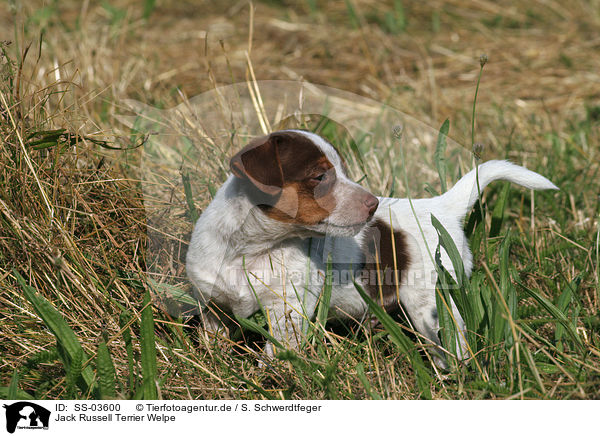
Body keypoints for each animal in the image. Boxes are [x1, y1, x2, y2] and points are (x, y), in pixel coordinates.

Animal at [186, 129, 556, 364]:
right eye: (319, 176)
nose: (373, 203)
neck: (252, 249)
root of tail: (442, 206)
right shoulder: (213, 306)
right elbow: (214, 342)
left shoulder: (288, 311)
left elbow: (278, 353)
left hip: (431, 303)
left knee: (453, 341)